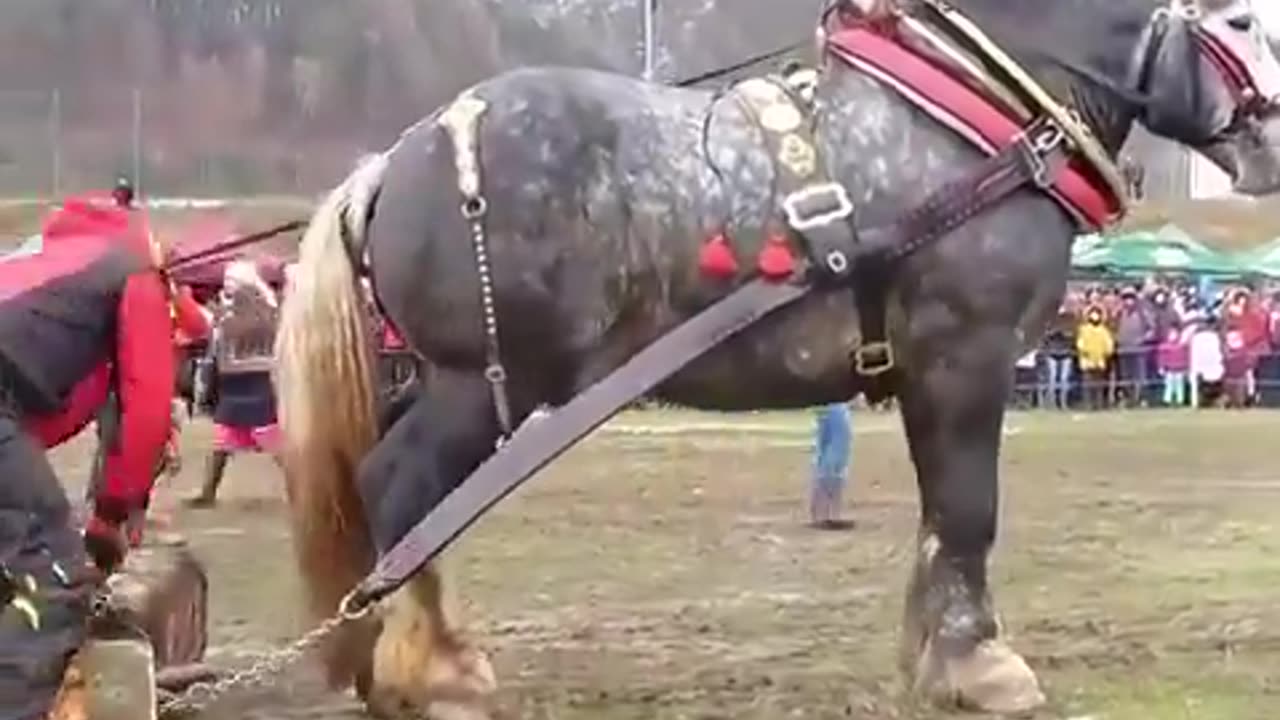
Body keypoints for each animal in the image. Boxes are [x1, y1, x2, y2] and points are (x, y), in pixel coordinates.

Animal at [274, 0, 1280, 716]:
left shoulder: (924, 372)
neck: (973, 128)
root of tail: (392, 162)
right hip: (489, 384)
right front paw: (980, 664)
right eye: (1240, 19)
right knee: (405, 488)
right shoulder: (967, 352)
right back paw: (438, 672)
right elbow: (968, 509)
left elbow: (939, 515)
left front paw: (933, 658)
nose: (1271, 142)